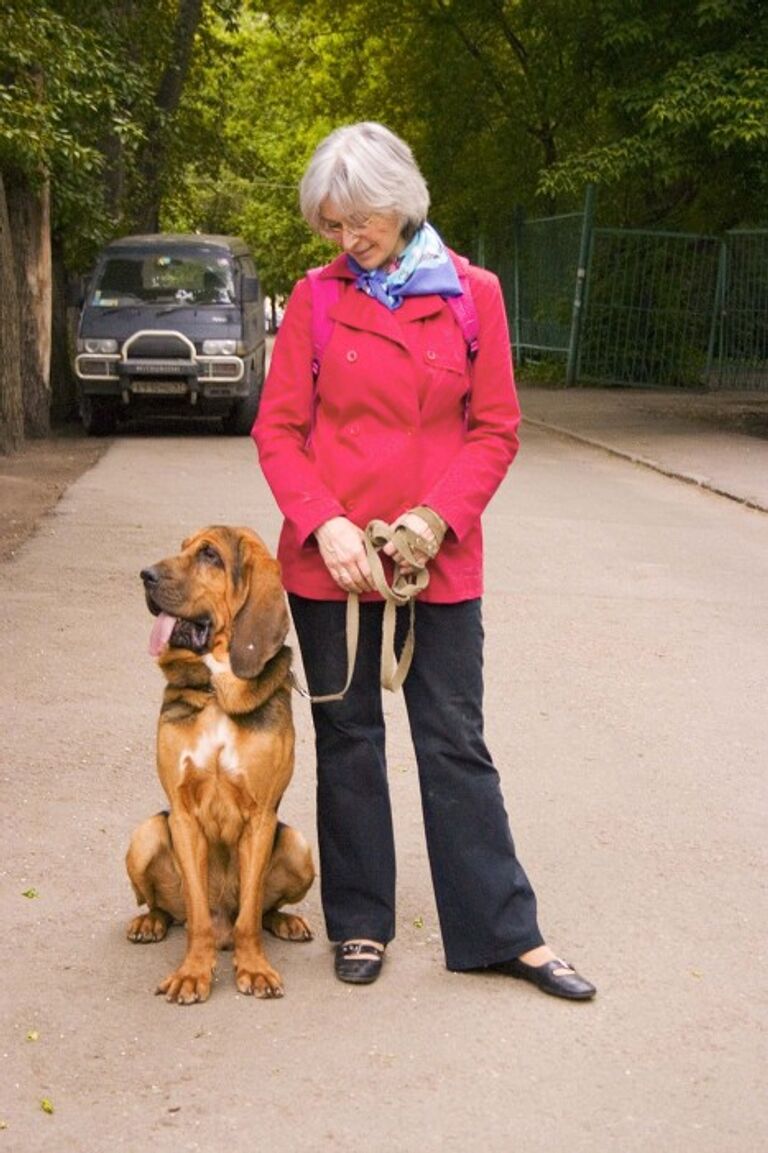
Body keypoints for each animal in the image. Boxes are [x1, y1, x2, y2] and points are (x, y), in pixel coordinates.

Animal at [125, 528, 313, 1005]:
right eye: (182, 547)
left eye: (210, 555)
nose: (145, 575)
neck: (216, 690)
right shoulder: (183, 816)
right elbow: (196, 916)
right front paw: (193, 973)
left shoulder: (261, 817)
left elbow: (250, 914)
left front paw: (254, 969)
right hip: (146, 833)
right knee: (168, 908)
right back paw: (150, 922)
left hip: (299, 847)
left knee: (261, 911)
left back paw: (285, 922)